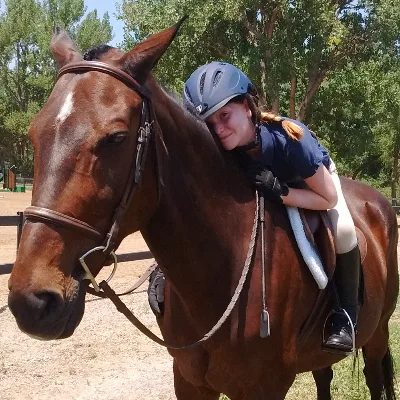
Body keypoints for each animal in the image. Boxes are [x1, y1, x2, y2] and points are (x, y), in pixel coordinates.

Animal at [7, 21, 398, 400]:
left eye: (116, 138)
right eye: (34, 134)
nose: (32, 303)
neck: (220, 272)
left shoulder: (266, 387)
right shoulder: (189, 380)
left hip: (377, 331)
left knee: (375, 376)